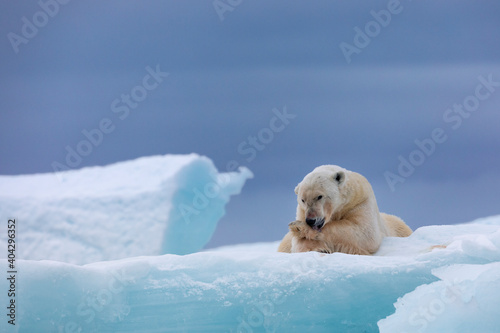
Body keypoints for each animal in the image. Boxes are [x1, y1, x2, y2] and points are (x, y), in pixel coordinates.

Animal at [278, 165, 410, 254]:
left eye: (319, 196)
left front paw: (300, 227)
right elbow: (297, 242)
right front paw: (320, 248)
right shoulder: (302, 211)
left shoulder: (360, 201)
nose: (311, 220)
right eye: (303, 199)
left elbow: (364, 232)